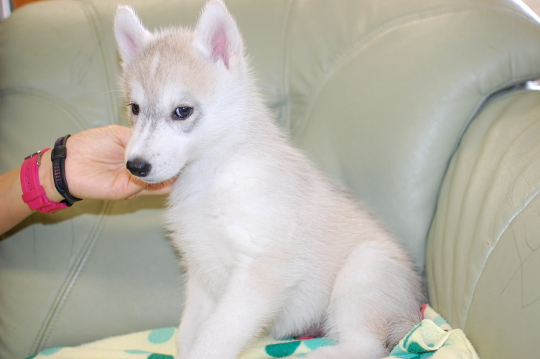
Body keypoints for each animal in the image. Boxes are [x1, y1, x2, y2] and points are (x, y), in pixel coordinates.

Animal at [115, 1, 426, 358]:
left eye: (182, 111)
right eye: (135, 108)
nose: (135, 166)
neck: (216, 175)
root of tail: (413, 309)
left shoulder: (258, 274)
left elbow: (214, 337)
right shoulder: (201, 274)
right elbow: (190, 333)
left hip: (364, 270)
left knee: (367, 346)